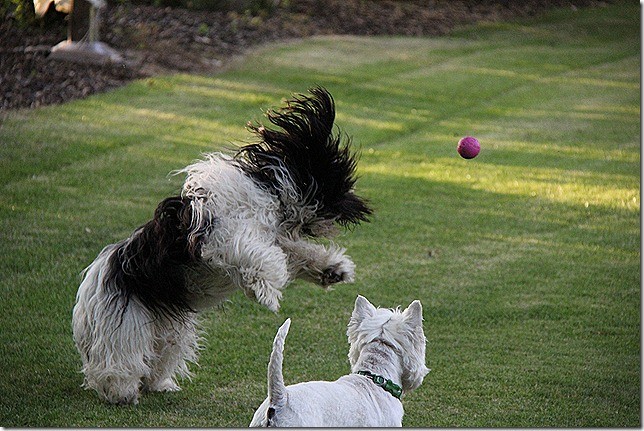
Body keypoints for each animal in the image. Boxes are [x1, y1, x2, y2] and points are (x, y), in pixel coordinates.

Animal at [69, 88, 372, 404]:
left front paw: (332, 269)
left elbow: (294, 254)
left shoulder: (271, 237)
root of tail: (94, 279)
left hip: (167, 330)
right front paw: (266, 292)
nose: (361, 209)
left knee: (158, 357)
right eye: (338, 180)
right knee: (118, 360)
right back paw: (122, 391)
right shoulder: (219, 237)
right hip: (124, 320)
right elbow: (261, 256)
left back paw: (159, 383)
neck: (269, 195)